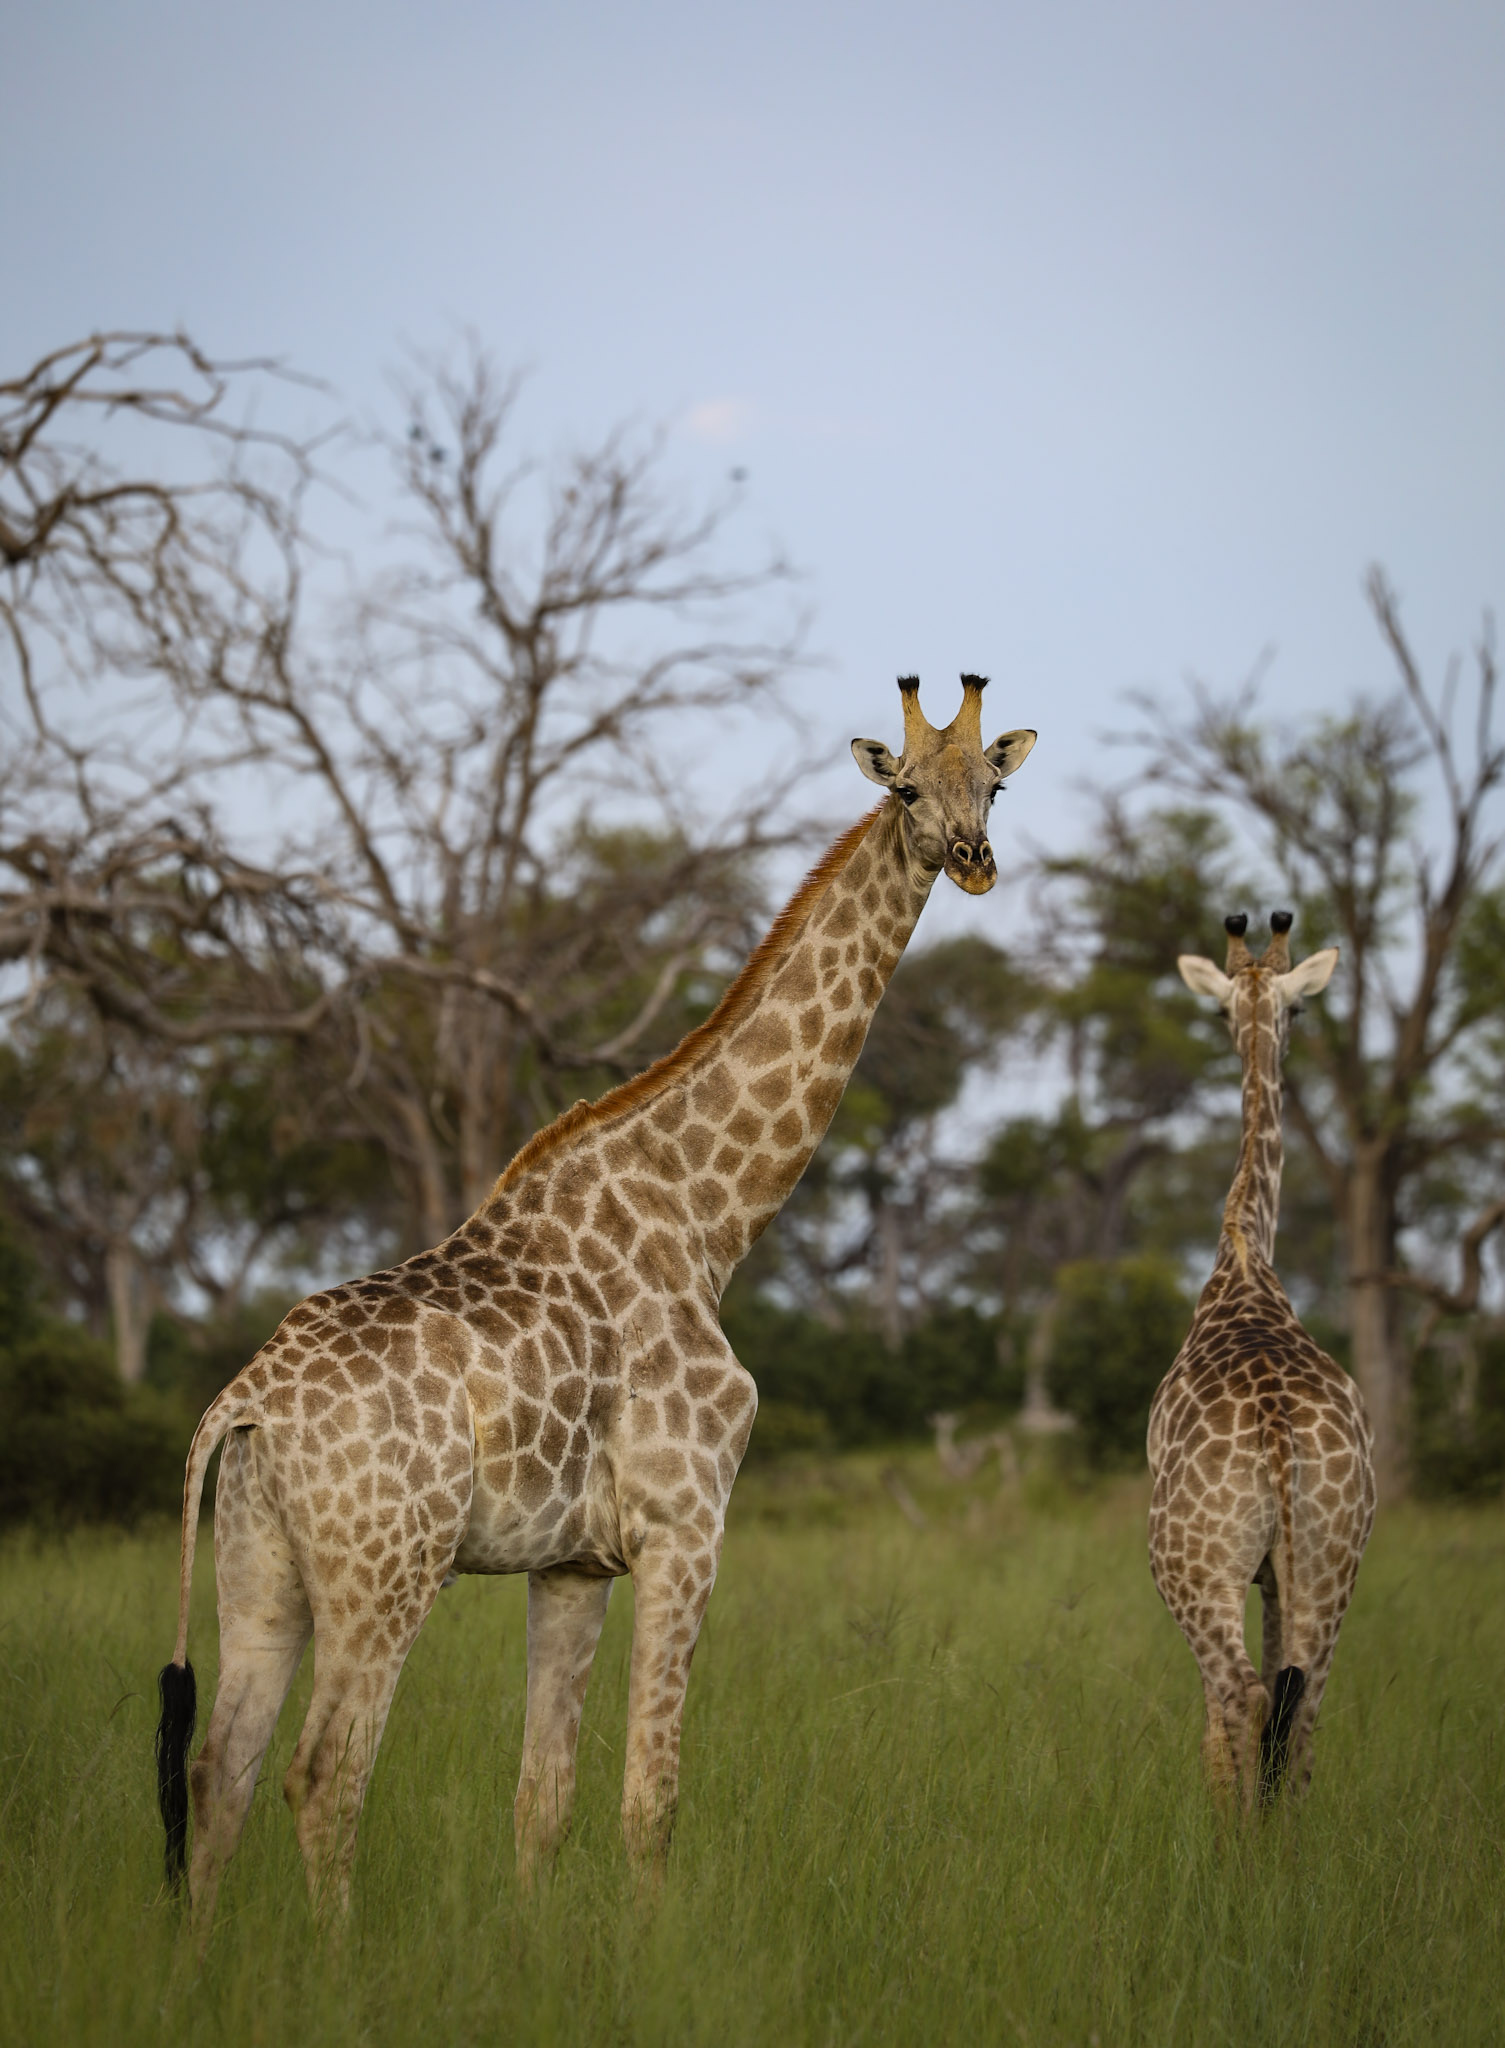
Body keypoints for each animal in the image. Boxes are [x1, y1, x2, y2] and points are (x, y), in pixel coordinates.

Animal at [155, 675, 1037, 1928]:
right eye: (906, 787)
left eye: (993, 784)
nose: (970, 858)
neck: (707, 1215)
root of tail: (245, 1397)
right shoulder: (685, 1525)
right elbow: (650, 1798)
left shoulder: (569, 1563)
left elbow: (544, 1798)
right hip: (387, 1566)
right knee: (322, 1773)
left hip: (259, 1567)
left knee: (216, 1768)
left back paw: (201, 1961)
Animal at [1147, 911, 1375, 1811]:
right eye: (1223, 1010)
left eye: (1299, 1007)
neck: (1243, 1254)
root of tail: (1277, 1442)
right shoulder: (1280, 1575)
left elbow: (1215, 1726)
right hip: (1329, 1557)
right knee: (1300, 1705)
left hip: (1191, 1566)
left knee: (1241, 1700)